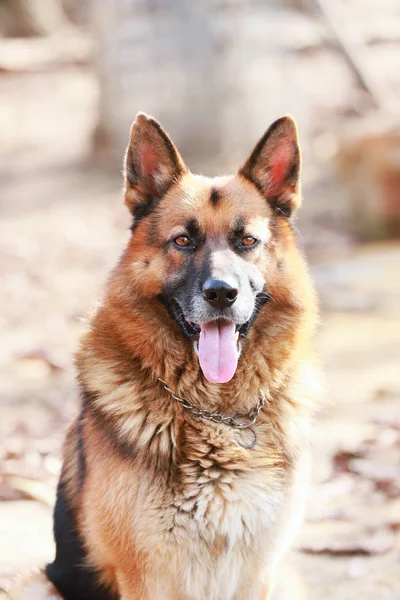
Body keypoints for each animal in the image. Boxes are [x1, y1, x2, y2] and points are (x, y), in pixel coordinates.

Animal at [9, 113, 320, 600]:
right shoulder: (150, 577)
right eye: (183, 241)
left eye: (247, 240)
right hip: (36, 583)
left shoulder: (260, 573)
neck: (217, 416)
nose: (221, 294)